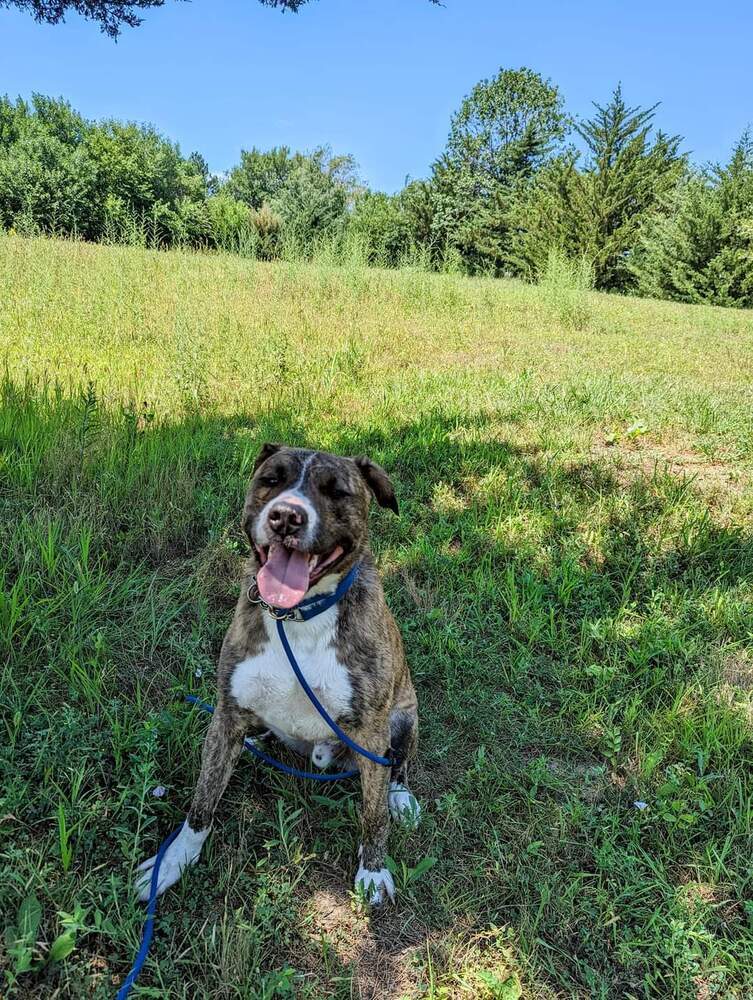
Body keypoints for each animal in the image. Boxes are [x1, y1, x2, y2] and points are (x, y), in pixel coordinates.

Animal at [138, 446, 420, 908]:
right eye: (271, 479)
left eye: (336, 491)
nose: (286, 516)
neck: (299, 615)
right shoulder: (226, 713)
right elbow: (202, 801)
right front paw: (175, 861)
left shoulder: (372, 729)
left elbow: (373, 814)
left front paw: (374, 869)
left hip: (406, 715)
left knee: (397, 765)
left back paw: (401, 797)